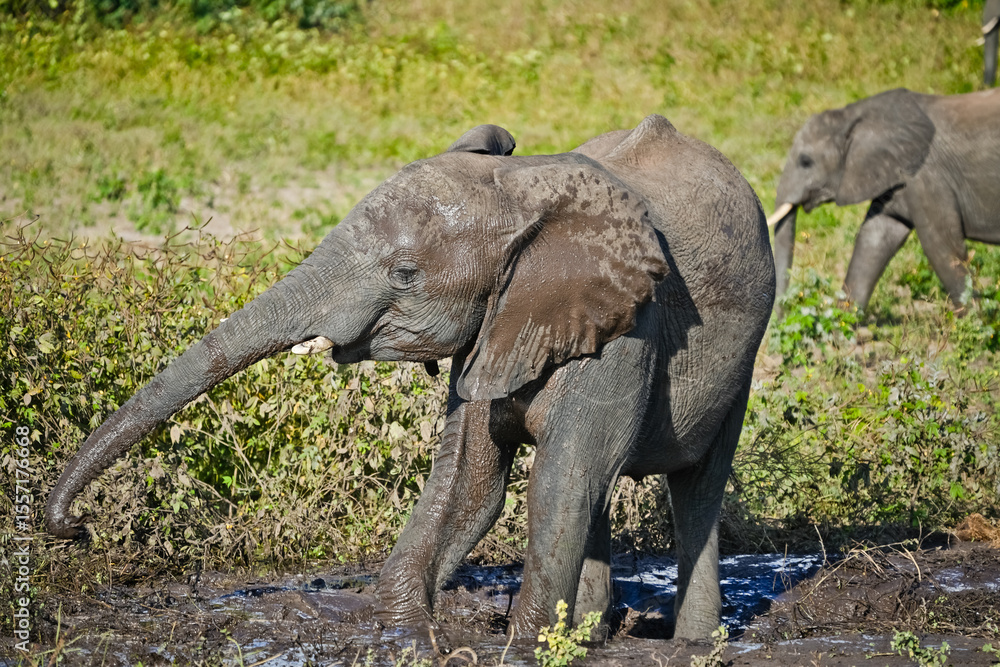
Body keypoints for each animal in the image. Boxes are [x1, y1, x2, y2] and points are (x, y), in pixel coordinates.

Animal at [46, 115, 774, 639]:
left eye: (404, 275)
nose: (74, 528)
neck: (523, 188)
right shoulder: (497, 325)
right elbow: (469, 480)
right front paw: (401, 632)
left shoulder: (630, 327)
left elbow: (560, 480)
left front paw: (524, 648)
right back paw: (590, 639)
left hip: (741, 354)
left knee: (694, 487)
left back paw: (692, 644)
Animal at [767, 88, 1000, 312]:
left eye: (805, 161)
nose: (781, 317)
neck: (856, 115)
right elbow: (875, 238)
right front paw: (842, 323)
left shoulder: (927, 177)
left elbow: (941, 245)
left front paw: (976, 321)